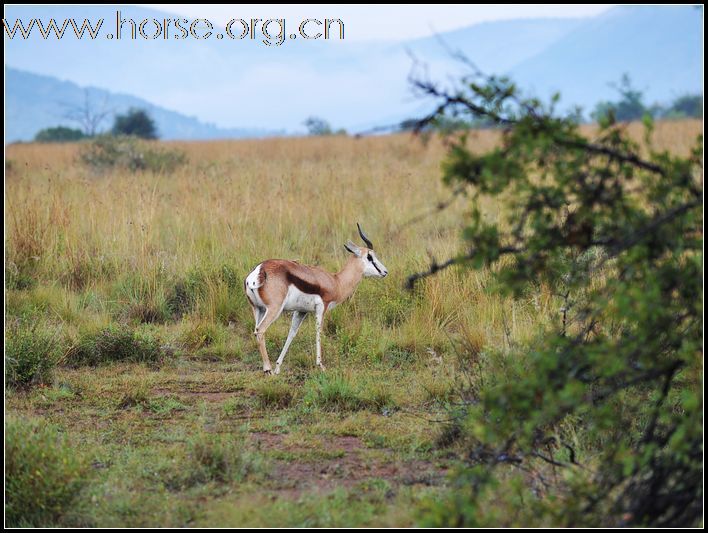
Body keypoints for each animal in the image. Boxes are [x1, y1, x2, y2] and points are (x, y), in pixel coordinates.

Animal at [243, 223, 388, 374]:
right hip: (274, 309)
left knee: (256, 331)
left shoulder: (301, 311)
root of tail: (260, 270)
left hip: (258, 309)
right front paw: (320, 365)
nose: (385, 272)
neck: (336, 281)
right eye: (370, 256)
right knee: (260, 330)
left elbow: (291, 334)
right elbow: (318, 331)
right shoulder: (321, 307)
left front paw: (278, 367)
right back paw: (267, 369)